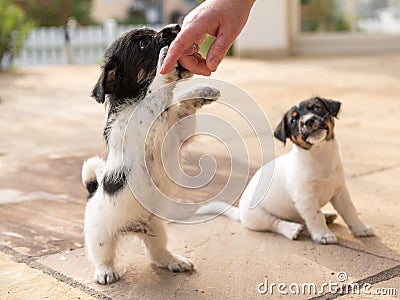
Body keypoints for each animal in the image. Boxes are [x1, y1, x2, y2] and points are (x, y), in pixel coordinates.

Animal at [81, 24, 219, 284]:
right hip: (100, 234)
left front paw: (203, 91)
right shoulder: (142, 124)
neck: (134, 99)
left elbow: (180, 104)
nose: (176, 27)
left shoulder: (179, 132)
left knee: (156, 253)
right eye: (143, 43)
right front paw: (166, 61)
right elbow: (156, 92)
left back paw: (174, 261)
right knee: (102, 255)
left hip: (156, 228)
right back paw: (105, 272)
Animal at [195, 97, 374, 245]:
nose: (308, 121)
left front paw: (360, 229)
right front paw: (323, 235)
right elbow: (316, 217)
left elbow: (350, 212)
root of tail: (239, 212)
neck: (319, 156)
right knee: (275, 224)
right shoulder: (306, 198)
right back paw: (292, 229)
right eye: (294, 120)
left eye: (316, 108)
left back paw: (328, 215)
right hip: (259, 217)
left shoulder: (340, 191)